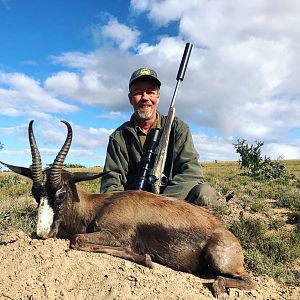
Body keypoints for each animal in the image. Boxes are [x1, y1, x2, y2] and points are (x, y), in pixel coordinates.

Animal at [1, 120, 256, 298]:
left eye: (61, 193)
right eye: (36, 193)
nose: (42, 233)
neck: (100, 205)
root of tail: (228, 234)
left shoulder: (114, 235)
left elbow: (77, 240)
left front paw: (145, 258)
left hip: (221, 260)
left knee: (249, 279)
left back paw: (219, 287)